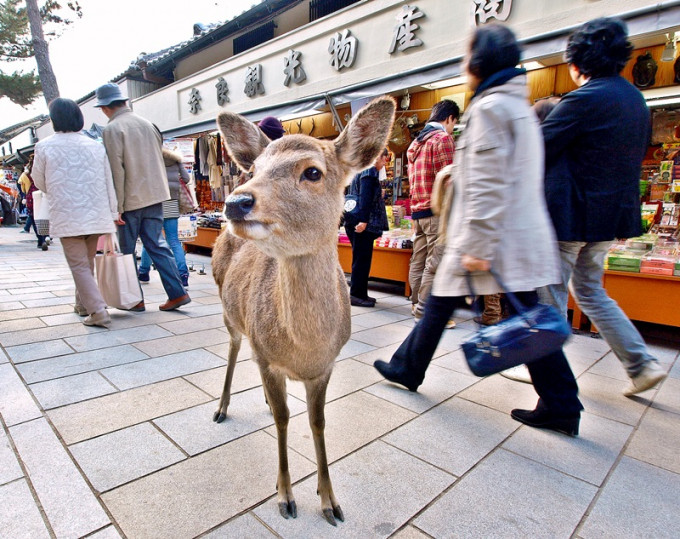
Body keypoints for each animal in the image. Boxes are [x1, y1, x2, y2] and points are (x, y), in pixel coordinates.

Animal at [210, 98, 396, 528]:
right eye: (255, 169)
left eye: (313, 171)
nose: (236, 201)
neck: (304, 349)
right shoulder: (267, 357)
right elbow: (283, 418)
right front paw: (285, 497)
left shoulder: (325, 367)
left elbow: (317, 421)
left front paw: (330, 501)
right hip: (229, 313)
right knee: (233, 349)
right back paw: (222, 408)